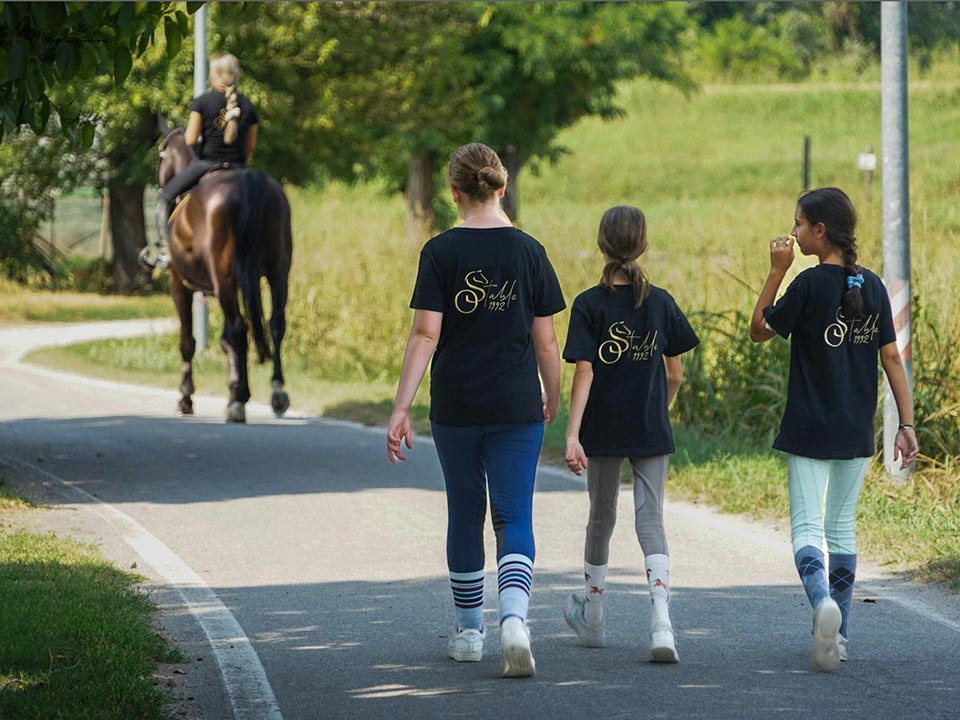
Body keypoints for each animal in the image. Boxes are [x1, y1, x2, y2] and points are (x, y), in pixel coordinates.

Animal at [156, 128, 292, 422]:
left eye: (161, 154)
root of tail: (249, 180)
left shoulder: (179, 284)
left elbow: (189, 341)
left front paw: (187, 397)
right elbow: (226, 340)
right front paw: (234, 388)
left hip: (224, 277)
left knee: (240, 327)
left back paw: (239, 404)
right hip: (277, 271)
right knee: (275, 323)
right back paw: (276, 392)